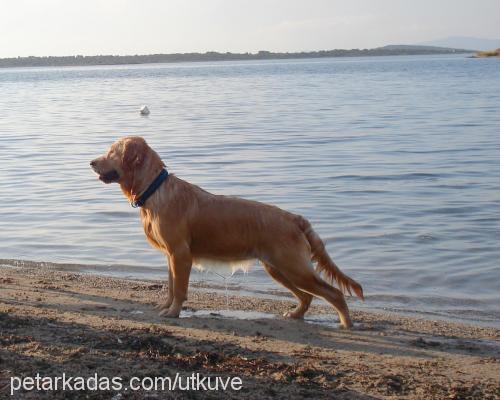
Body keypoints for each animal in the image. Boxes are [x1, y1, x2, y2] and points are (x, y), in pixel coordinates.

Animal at [91, 136, 364, 326]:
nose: (91, 162)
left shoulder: (180, 254)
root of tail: (294, 217)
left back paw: (346, 323)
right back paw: (296, 314)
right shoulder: (171, 256)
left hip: (293, 268)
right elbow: (170, 286)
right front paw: (166, 307)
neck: (155, 190)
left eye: (112, 151)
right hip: (278, 268)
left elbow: (179, 289)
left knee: (334, 293)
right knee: (307, 297)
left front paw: (174, 311)